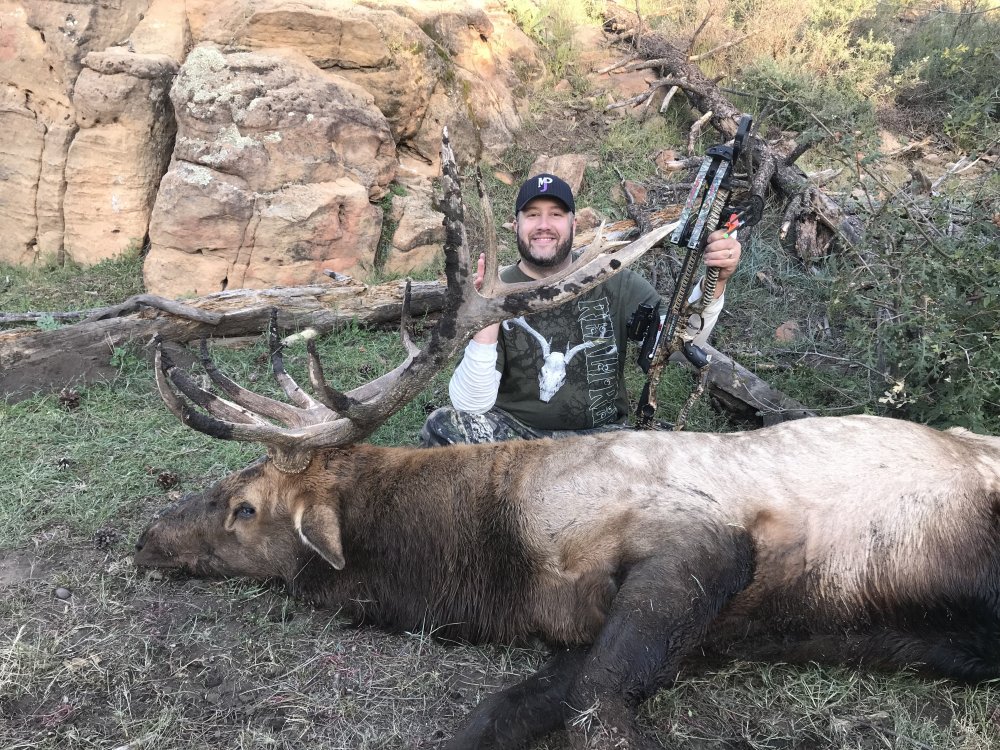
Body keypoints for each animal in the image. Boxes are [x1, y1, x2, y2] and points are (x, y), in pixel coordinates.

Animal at [134, 132, 1000, 750]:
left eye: (245, 506)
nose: (146, 537)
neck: (493, 561)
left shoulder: (702, 538)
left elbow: (593, 709)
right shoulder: (644, 629)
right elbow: (500, 713)